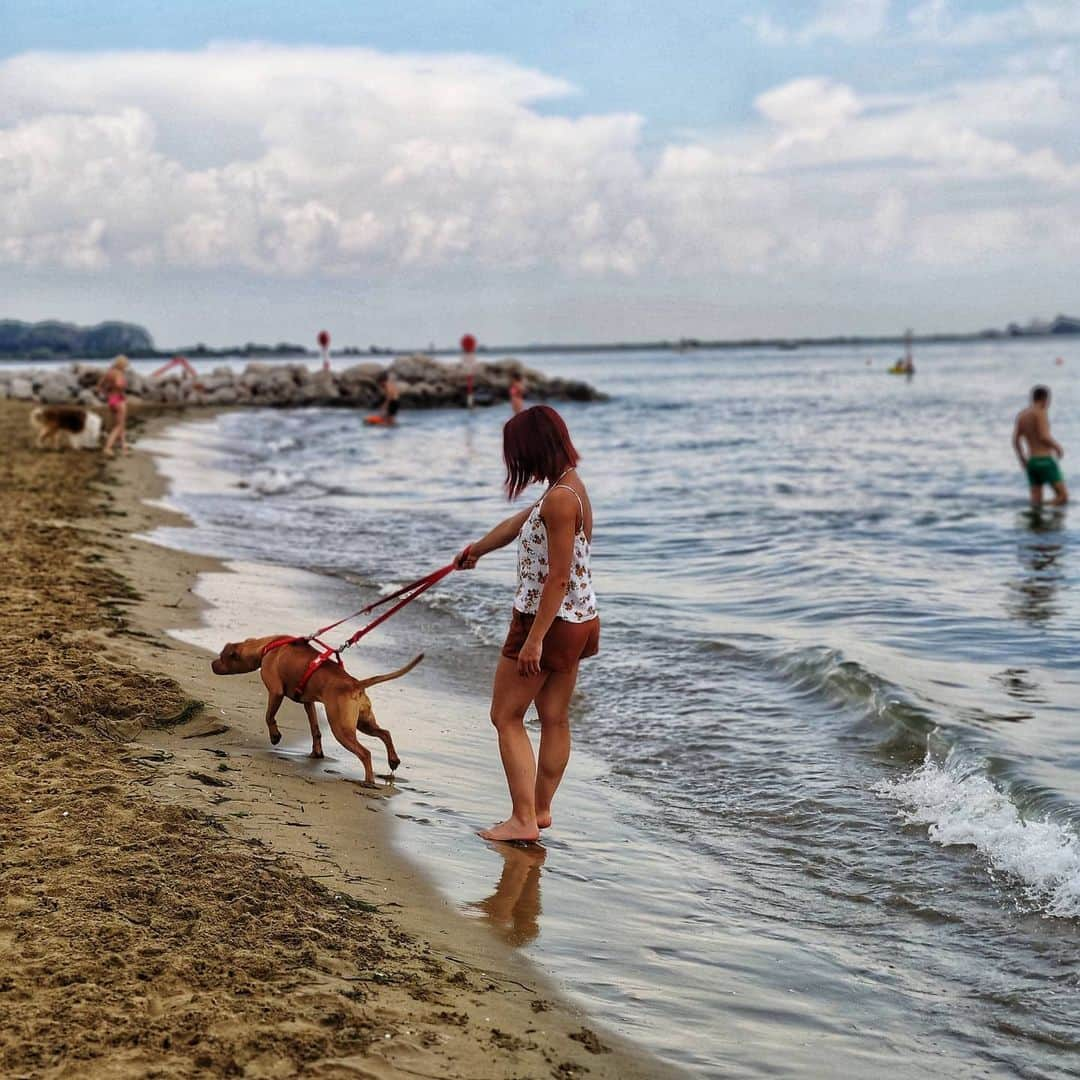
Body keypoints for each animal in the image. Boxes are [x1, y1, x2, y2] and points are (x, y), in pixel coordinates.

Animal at [210, 635, 421, 781]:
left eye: (221, 657)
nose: (211, 663)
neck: (266, 647)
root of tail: (355, 684)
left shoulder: (276, 692)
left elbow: (269, 716)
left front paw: (275, 736)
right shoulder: (308, 702)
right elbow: (315, 730)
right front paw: (316, 753)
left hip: (341, 728)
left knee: (365, 753)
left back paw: (369, 781)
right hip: (363, 722)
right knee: (385, 733)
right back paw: (393, 760)